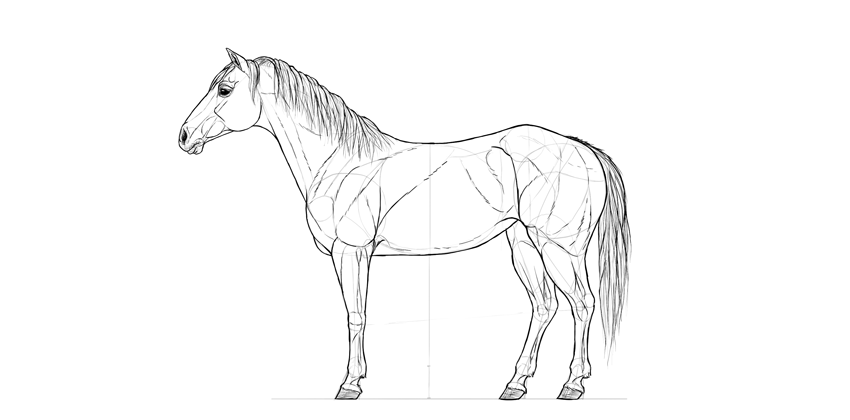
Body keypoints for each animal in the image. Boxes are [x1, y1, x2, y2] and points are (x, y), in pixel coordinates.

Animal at [178, 49, 630, 400]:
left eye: (224, 89)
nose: (183, 136)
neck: (342, 162)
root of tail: (583, 150)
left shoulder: (351, 252)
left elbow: (355, 315)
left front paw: (350, 384)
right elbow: (357, 313)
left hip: (558, 247)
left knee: (582, 303)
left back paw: (572, 385)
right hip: (523, 245)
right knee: (545, 305)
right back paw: (515, 384)